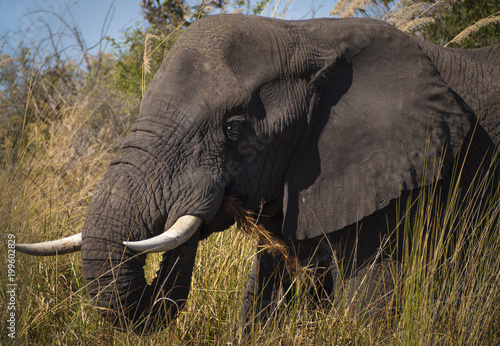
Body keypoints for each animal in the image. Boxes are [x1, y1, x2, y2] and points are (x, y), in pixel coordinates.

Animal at [16, 14, 500, 332]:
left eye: (234, 129)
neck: (311, 36)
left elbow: (369, 313)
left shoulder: (396, 184)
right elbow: (264, 304)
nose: (195, 207)